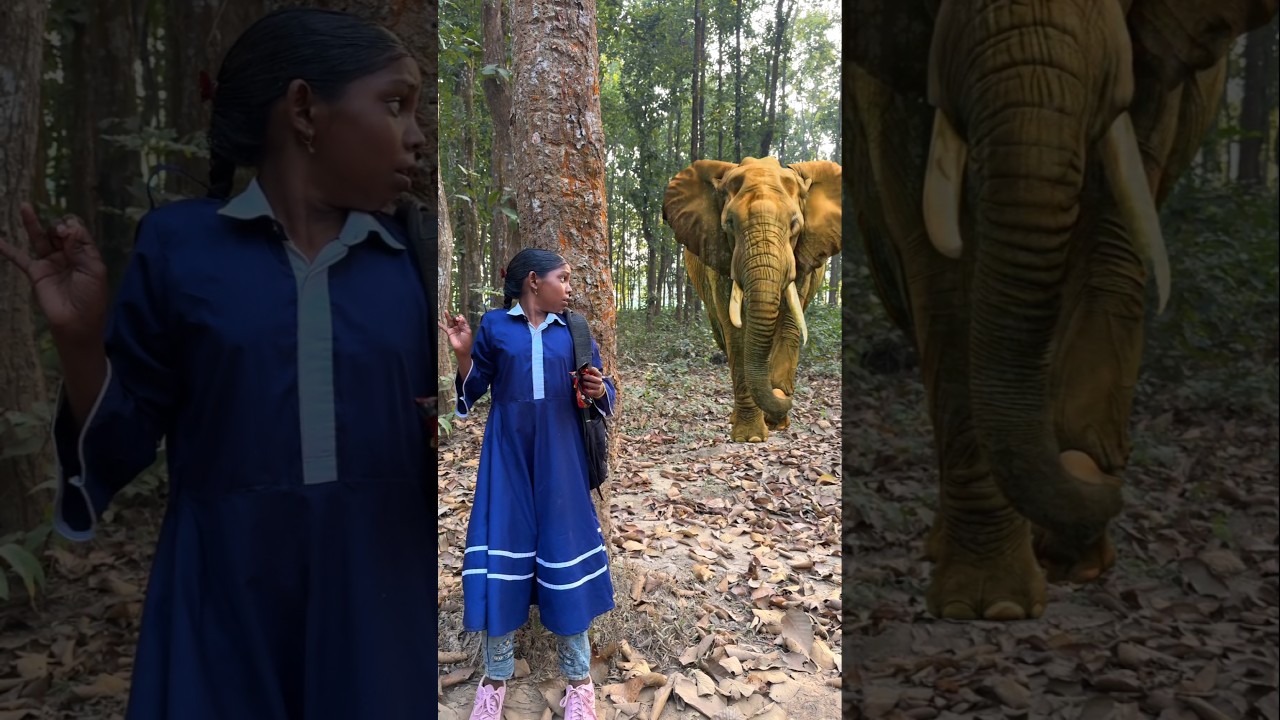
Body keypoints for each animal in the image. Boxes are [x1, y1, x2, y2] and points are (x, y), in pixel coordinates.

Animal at [663, 156, 842, 443]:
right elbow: (735, 333)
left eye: (795, 224)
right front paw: (751, 437)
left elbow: (790, 324)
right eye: (729, 223)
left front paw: (777, 420)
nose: (783, 393)